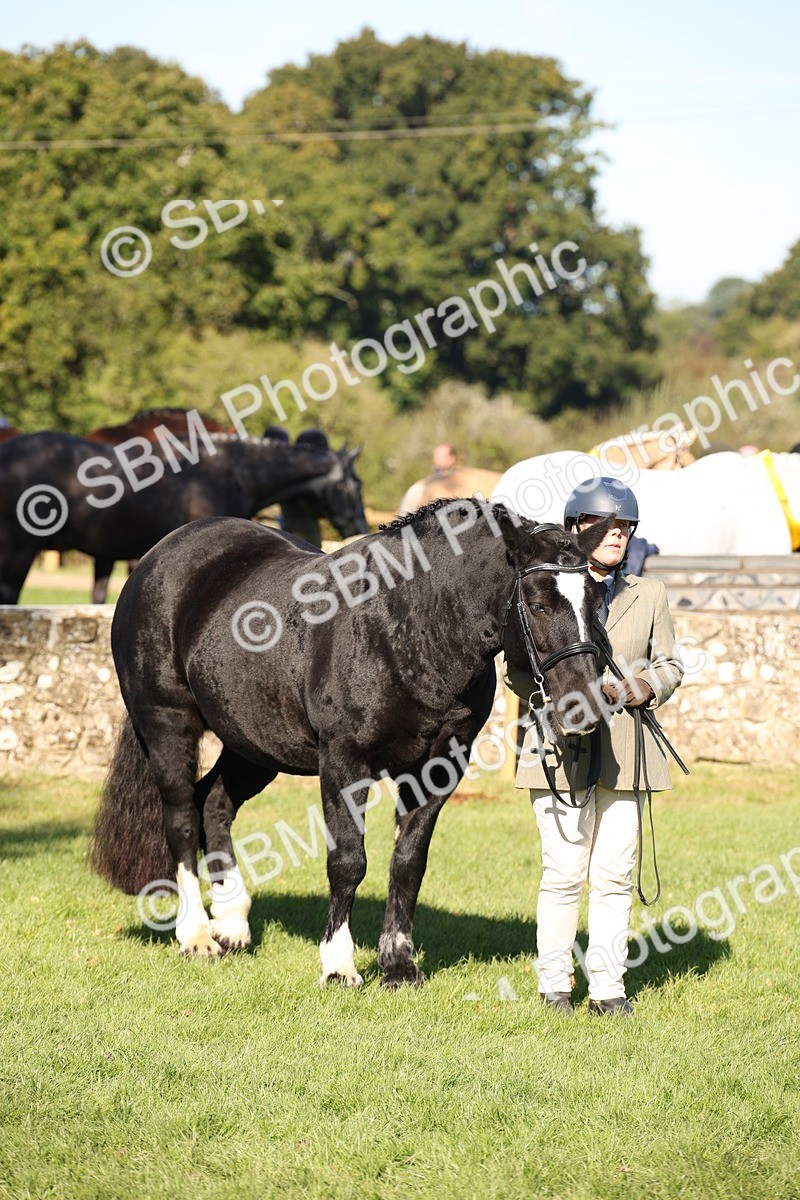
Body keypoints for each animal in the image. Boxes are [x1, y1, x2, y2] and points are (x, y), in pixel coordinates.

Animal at [89, 501, 610, 986]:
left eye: (595, 600)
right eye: (539, 604)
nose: (584, 704)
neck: (412, 629)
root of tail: (158, 557)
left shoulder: (438, 768)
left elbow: (408, 863)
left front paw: (398, 966)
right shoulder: (344, 761)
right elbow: (348, 861)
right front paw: (339, 965)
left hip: (252, 746)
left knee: (214, 804)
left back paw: (232, 924)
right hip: (168, 726)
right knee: (180, 818)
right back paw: (196, 935)